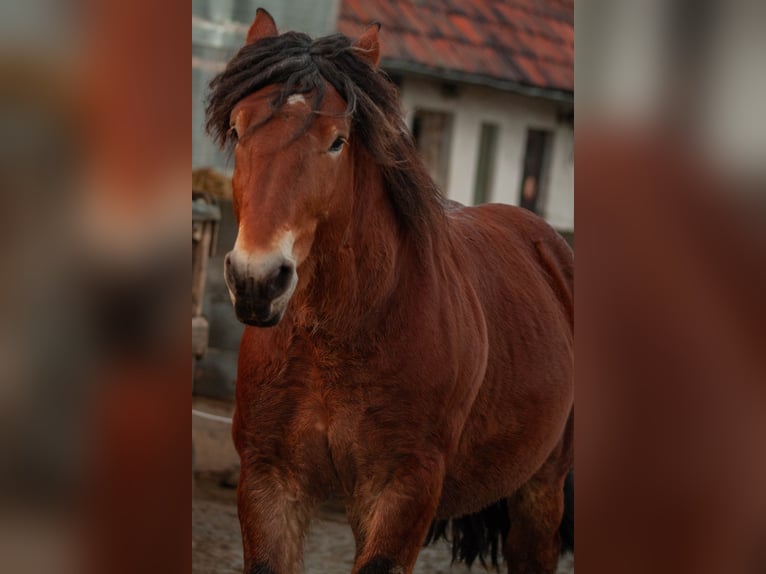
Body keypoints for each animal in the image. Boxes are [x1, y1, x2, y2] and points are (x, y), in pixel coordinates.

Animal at [207, 7, 572, 572]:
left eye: (336, 141)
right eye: (238, 129)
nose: (256, 280)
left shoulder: (403, 490)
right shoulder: (271, 481)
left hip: (540, 494)